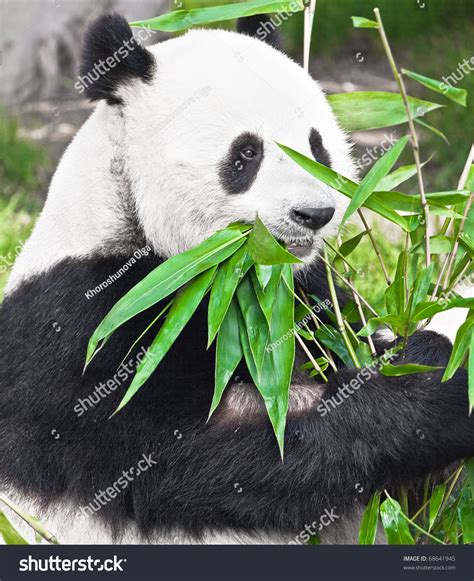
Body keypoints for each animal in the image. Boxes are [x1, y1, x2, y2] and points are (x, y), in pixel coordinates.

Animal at [0, 12, 474, 544]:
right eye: (246, 154)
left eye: (317, 147)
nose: (314, 215)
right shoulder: (83, 328)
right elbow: (201, 460)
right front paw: (437, 375)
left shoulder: (301, 294)